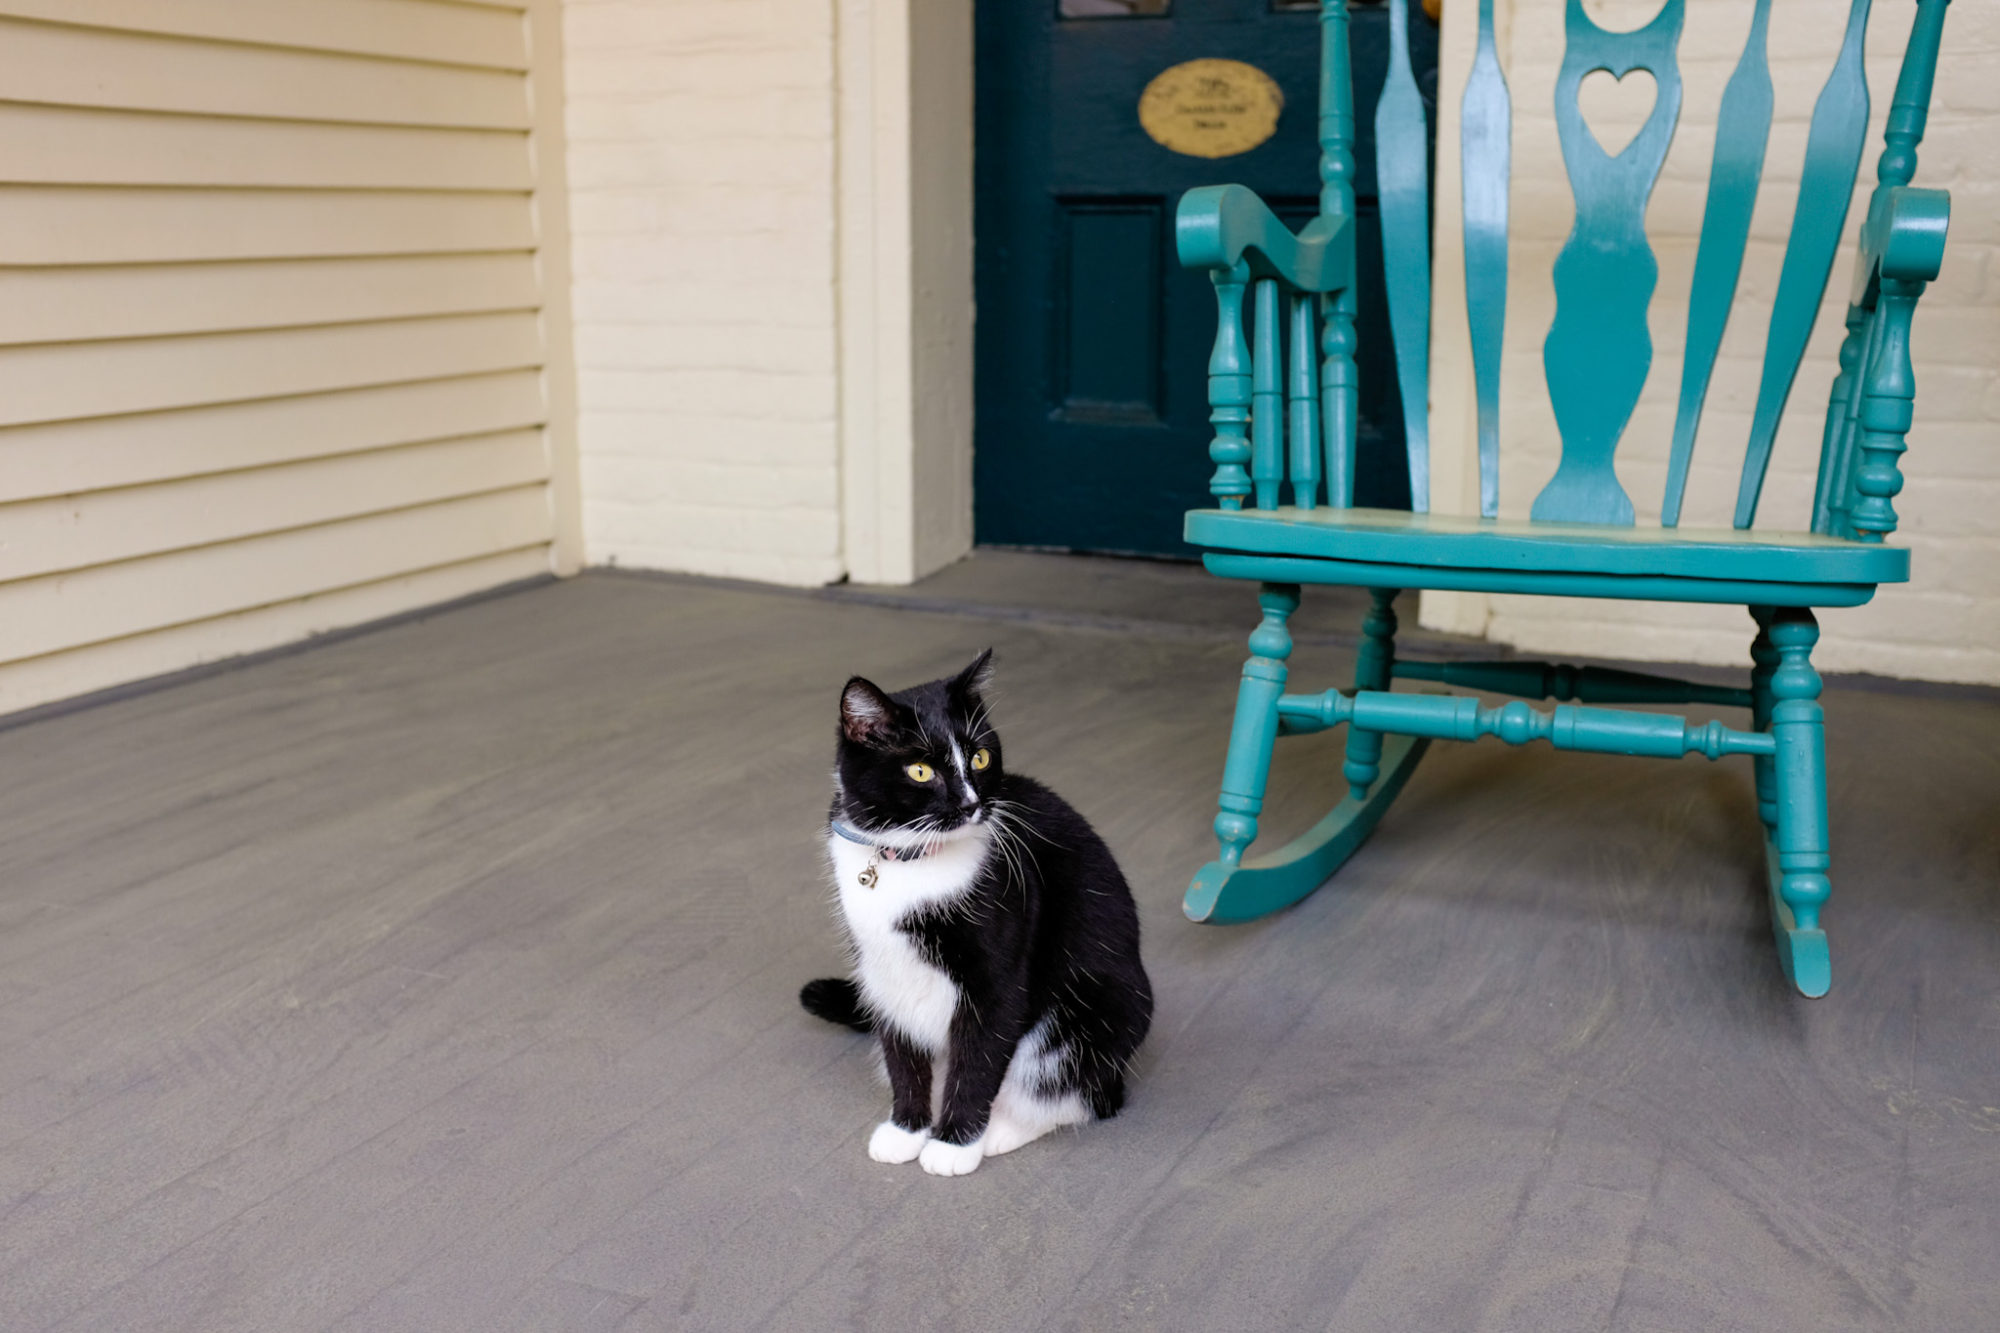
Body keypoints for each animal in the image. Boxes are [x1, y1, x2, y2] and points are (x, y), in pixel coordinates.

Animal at [800, 652, 1160, 1176]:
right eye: (921, 771)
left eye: (980, 758)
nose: (972, 804)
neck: (908, 859)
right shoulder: (883, 970)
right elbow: (902, 1051)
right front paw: (907, 1131)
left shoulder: (1000, 973)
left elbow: (979, 1059)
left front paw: (953, 1145)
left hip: (1104, 1009)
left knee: (1079, 1090)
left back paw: (1002, 1130)